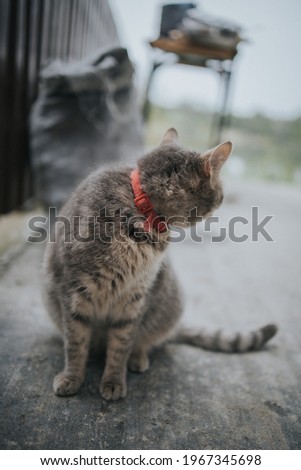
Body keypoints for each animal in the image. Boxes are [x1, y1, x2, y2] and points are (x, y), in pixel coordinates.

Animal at [42, 127, 276, 400]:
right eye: (220, 194)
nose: (222, 200)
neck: (141, 210)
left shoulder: (134, 299)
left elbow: (121, 345)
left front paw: (113, 380)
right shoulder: (73, 292)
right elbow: (76, 344)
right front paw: (72, 377)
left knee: (145, 341)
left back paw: (138, 358)